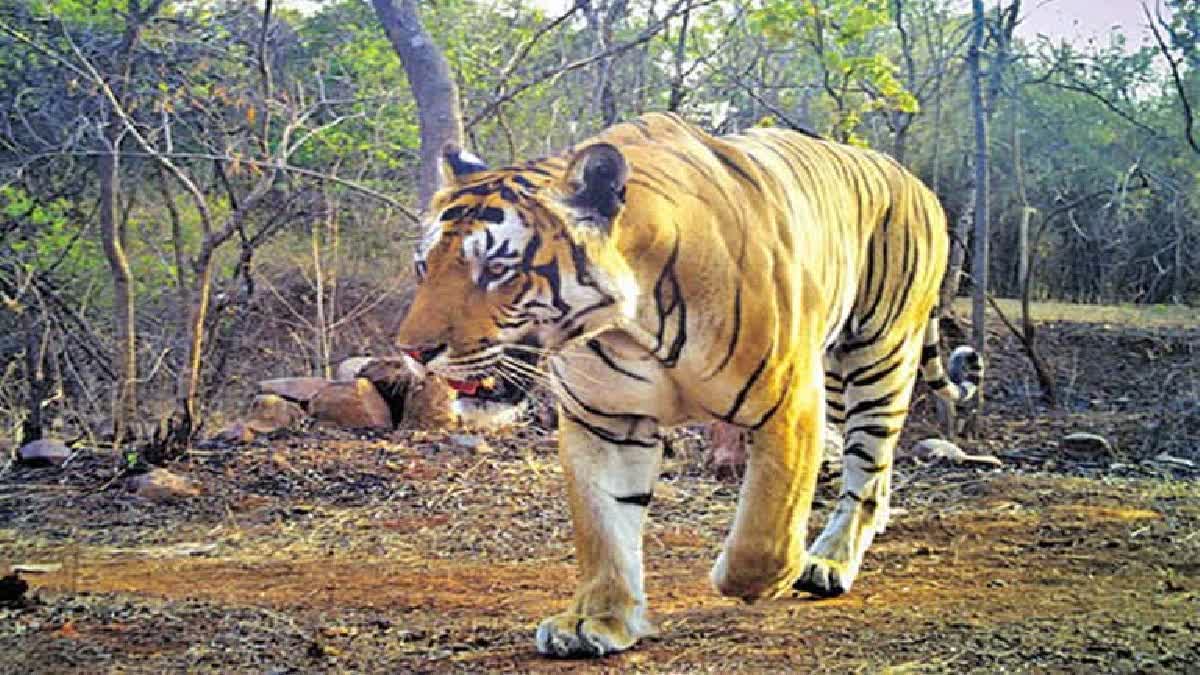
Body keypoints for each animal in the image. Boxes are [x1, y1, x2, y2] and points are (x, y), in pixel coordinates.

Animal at [398, 112, 979, 653]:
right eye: (424, 266)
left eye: (498, 268)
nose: (412, 351)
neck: (632, 327)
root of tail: (917, 182)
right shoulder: (605, 420)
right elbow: (604, 528)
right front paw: (596, 620)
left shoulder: (790, 400)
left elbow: (765, 530)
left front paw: (757, 579)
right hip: (839, 378)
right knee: (875, 471)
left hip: (877, 357)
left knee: (867, 463)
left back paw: (827, 563)